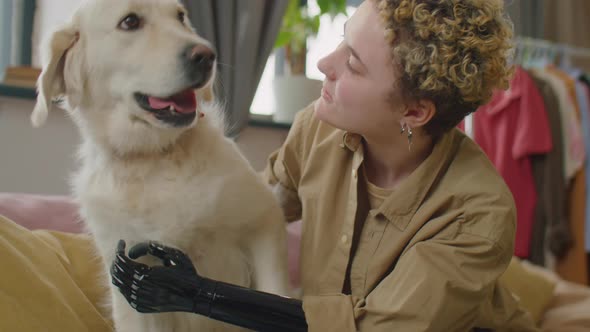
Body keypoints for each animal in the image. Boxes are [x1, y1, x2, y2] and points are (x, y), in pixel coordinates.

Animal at [31, 0, 290, 330]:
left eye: (180, 17)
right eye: (130, 21)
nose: (207, 55)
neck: (153, 157)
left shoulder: (264, 221)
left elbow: (274, 292)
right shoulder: (129, 279)